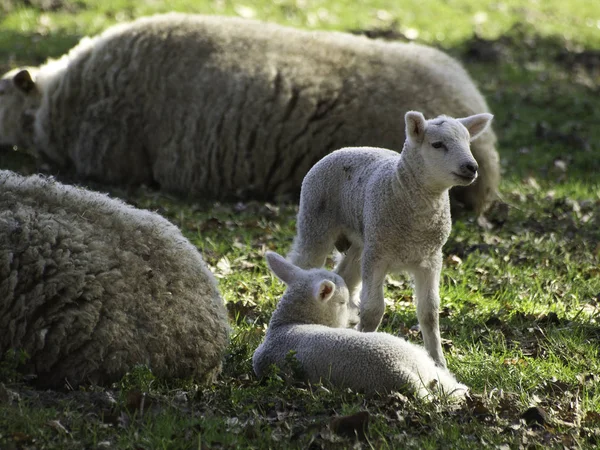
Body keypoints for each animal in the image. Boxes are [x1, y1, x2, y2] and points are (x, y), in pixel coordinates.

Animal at [290, 110, 492, 368]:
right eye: (437, 144)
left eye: (468, 142)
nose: (471, 167)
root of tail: (345, 149)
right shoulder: (378, 256)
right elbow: (373, 310)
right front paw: (364, 345)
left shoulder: (430, 259)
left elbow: (429, 313)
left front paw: (438, 362)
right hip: (315, 223)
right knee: (303, 264)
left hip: (363, 241)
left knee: (345, 276)